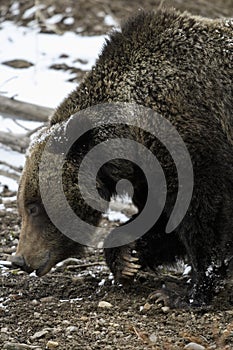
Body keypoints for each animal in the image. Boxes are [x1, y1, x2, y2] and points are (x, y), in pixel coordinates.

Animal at [12, 8, 233, 308]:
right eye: (23, 206)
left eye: (34, 208)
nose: (19, 260)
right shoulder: (149, 173)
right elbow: (161, 219)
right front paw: (128, 255)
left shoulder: (193, 141)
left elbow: (203, 215)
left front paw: (185, 293)